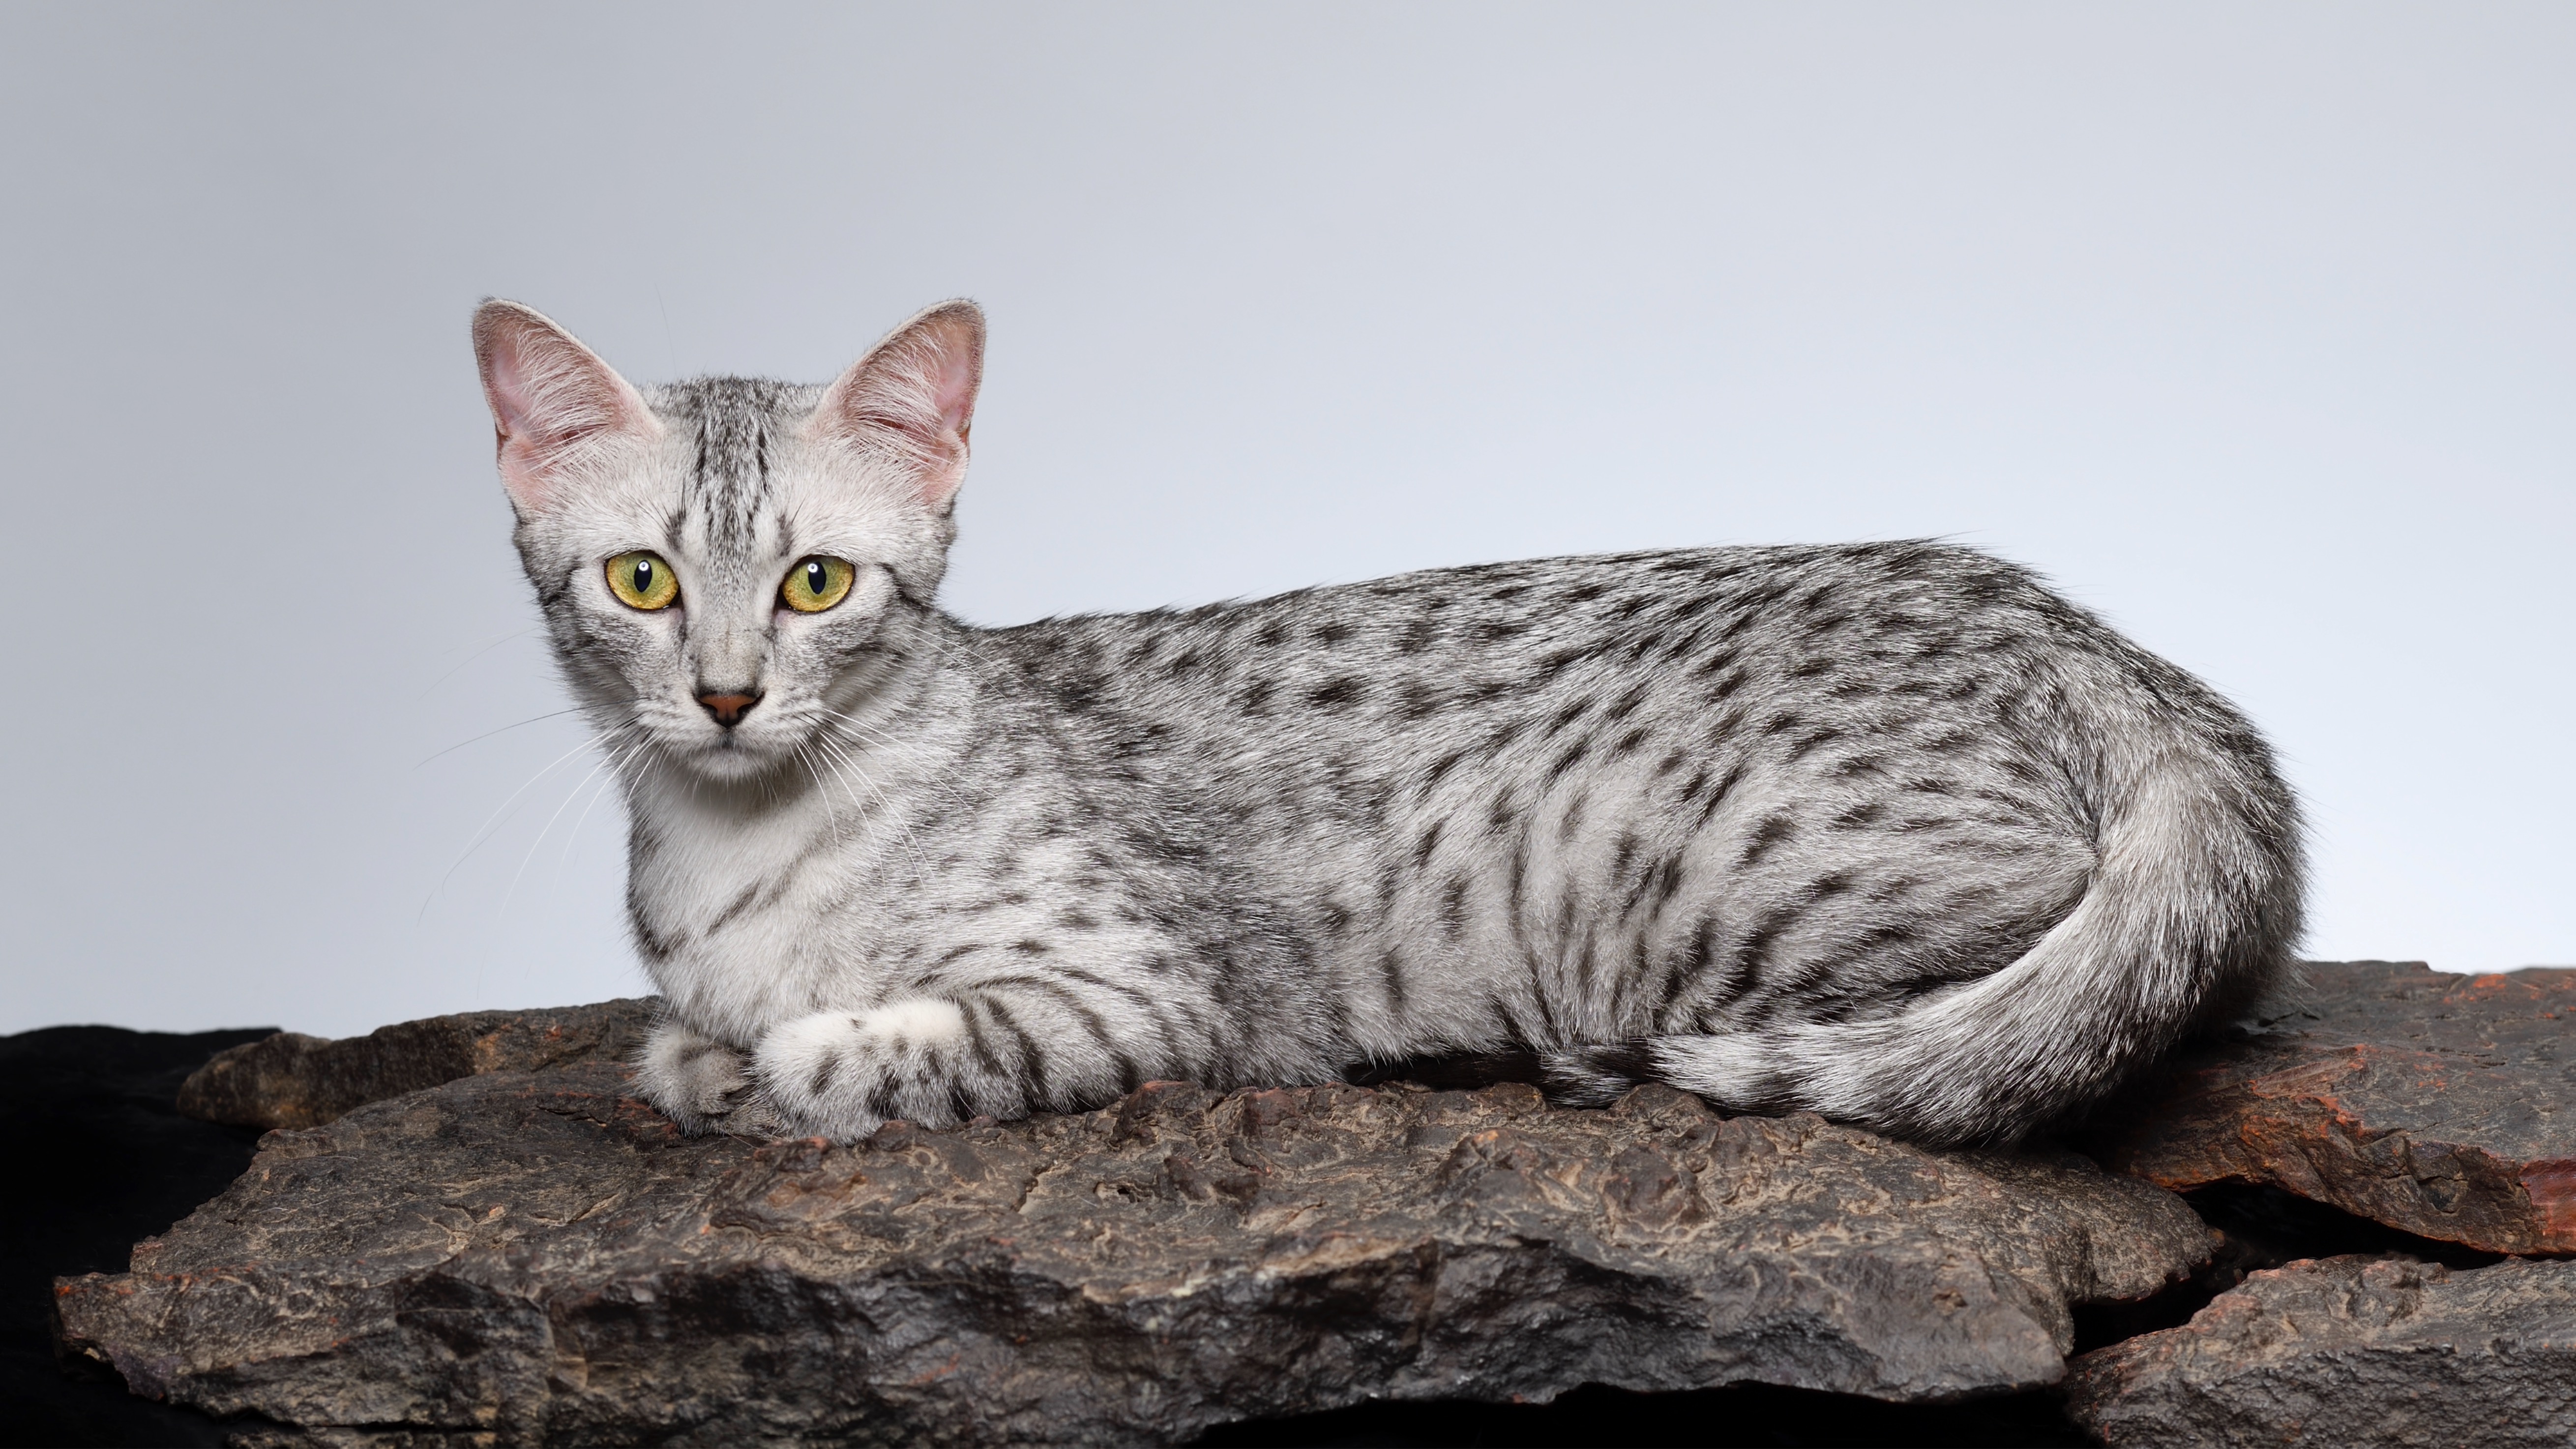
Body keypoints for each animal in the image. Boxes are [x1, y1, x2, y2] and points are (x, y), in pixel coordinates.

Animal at [474, 301, 2308, 1153]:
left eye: (814, 584)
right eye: (641, 579)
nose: (723, 694)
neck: (737, 841)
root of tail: (2088, 640)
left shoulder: (1150, 993)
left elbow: (902, 1039)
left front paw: (798, 1060)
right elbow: (680, 1042)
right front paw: (706, 1056)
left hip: (1674, 879)